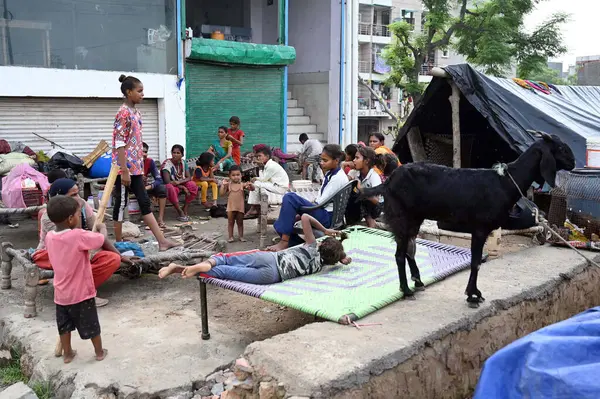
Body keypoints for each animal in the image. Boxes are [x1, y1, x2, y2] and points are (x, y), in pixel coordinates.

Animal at [360, 133, 576, 308]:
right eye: (560, 148)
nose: (573, 162)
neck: (505, 182)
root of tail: (389, 181)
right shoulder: (480, 228)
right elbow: (476, 262)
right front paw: (473, 295)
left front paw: (474, 293)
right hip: (401, 215)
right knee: (399, 254)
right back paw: (406, 290)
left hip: (415, 217)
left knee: (408, 250)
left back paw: (418, 281)